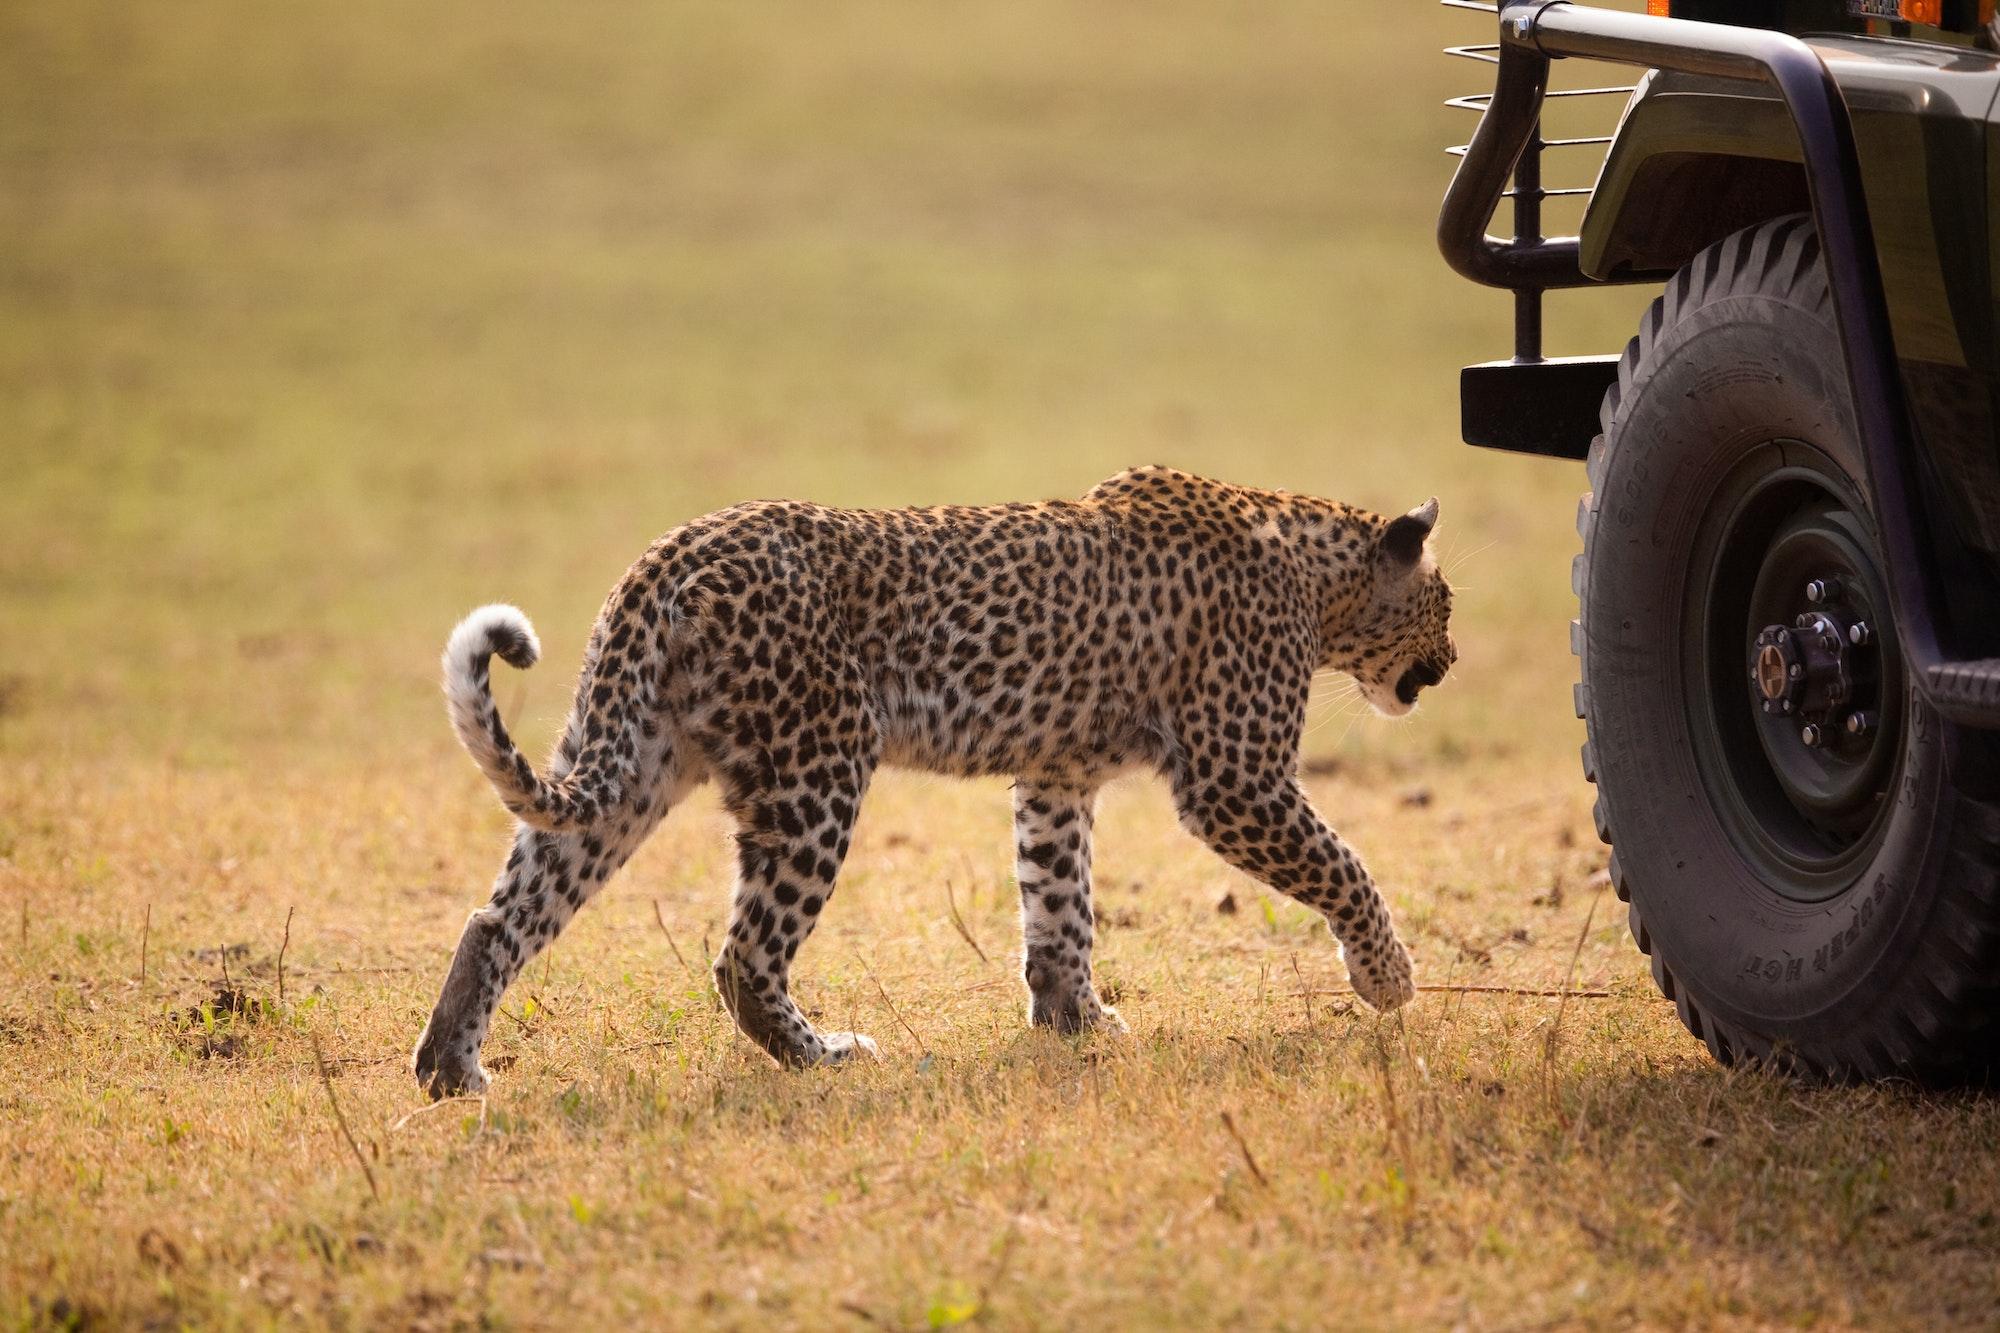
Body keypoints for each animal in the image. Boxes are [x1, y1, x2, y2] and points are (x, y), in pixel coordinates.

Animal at [414, 462, 1464, 1096]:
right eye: (1447, 603)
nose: (1453, 661)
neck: (1319, 579)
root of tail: (671, 552)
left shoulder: (1054, 777)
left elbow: (1061, 907)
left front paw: (1075, 1022)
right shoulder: (1235, 780)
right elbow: (1344, 865)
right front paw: (1387, 977)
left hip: (635, 765)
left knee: (501, 916)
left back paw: (450, 1072)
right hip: (818, 771)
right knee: (745, 955)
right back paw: (827, 1057)